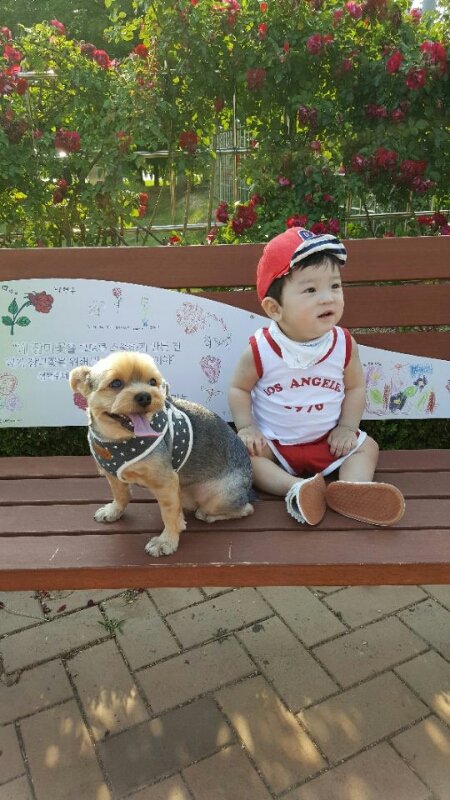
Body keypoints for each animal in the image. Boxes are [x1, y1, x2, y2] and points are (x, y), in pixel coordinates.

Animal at [69, 351, 254, 556]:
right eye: (116, 383)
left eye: (152, 381)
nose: (144, 396)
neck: (119, 440)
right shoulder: (112, 474)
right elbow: (121, 494)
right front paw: (113, 511)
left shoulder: (166, 482)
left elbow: (170, 516)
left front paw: (166, 541)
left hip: (218, 497)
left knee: (246, 508)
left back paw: (208, 514)